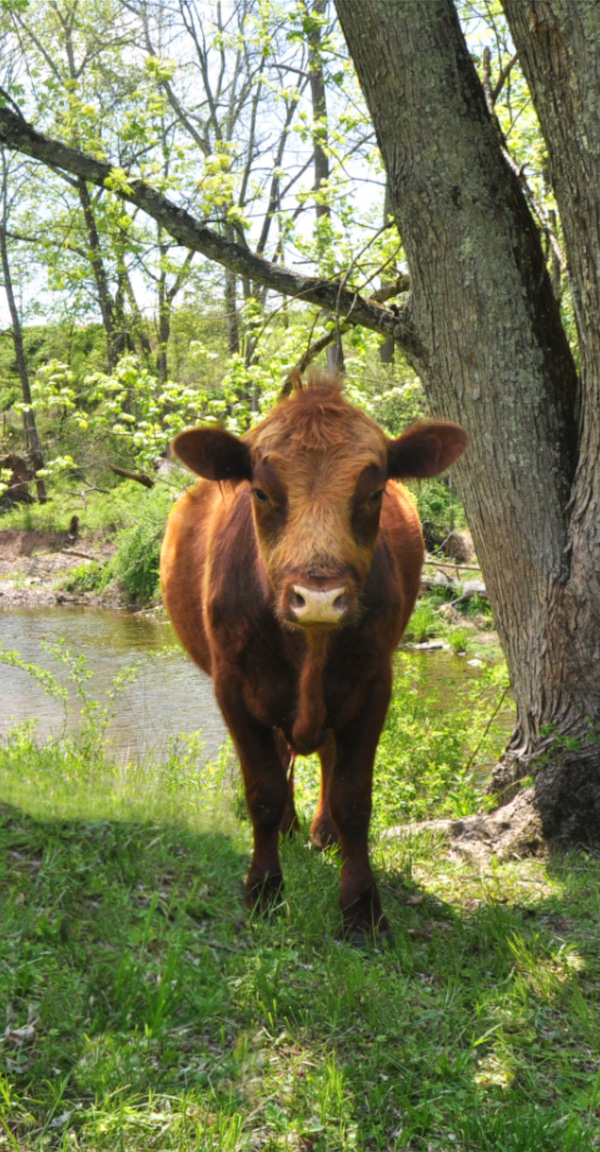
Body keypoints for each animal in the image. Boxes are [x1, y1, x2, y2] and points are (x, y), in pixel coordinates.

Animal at [160, 371, 468, 944]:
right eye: (261, 492)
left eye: (373, 492)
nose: (319, 598)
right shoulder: (232, 686)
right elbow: (261, 790)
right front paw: (263, 893)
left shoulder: (373, 684)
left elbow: (354, 798)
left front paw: (363, 911)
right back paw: (289, 828)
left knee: (323, 753)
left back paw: (322, 834)